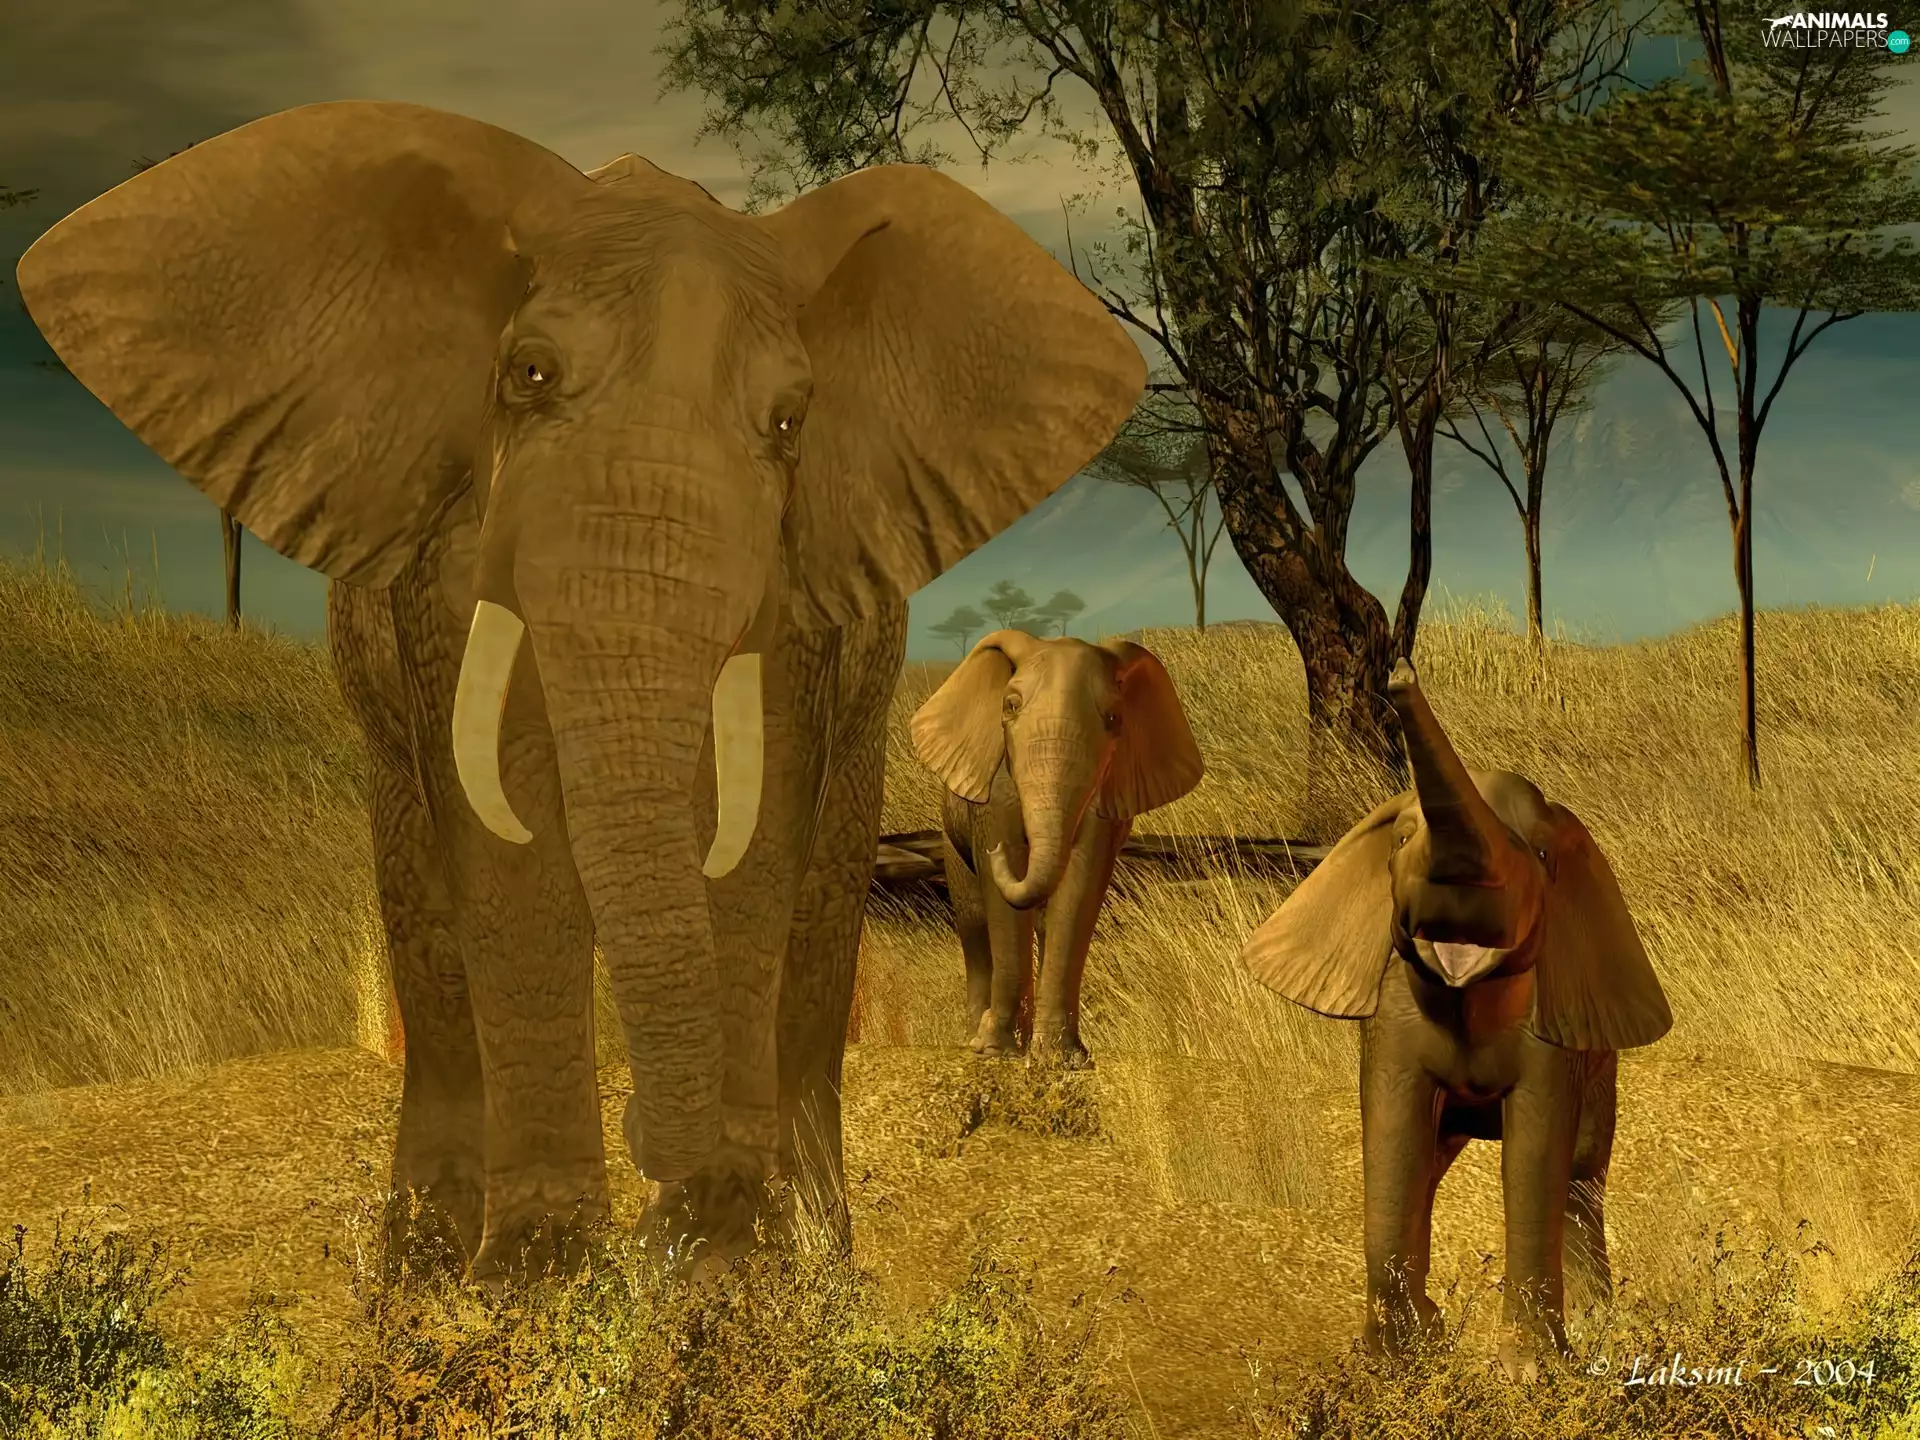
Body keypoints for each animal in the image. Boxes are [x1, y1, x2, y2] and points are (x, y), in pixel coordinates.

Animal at [17, 100, 1145, 1283]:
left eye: (791, 424)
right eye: (529, 375)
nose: (653, 1136)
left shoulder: (797, 594)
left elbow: (757, 827)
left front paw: (717, 1260)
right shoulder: (450, 566)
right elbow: (501, 833)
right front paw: (535, 1273)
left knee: (823, 899)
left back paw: (820, 1261)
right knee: (422, 902)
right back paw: (425, 1261)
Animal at [910, 630, 1203, 1067]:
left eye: (1114, 719)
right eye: (1010, 706)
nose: (994, 853)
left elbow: (1079, 885)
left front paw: (1062, 1060)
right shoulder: (995, 790)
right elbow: (1003, 899)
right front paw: (998, 1051)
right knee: (973, 920)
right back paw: (975, 1040)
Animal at [1239, 659, 1670, 1379]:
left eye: (1543, 857)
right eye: (1401, 841)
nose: (1399, 669)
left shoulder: (1551, 1037)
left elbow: (1536, 1155)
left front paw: (1530, 1375)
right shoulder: (1392, 1014)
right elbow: (1396, 1137)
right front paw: (1398, 1361)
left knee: (1581, 1177)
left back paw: (1600, 1327)